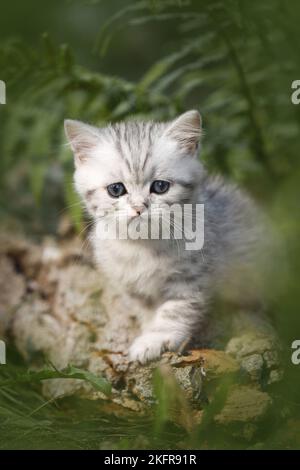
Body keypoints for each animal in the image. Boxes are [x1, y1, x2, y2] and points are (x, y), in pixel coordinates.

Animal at [65, 110, 268, 364]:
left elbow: (175, 311)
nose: (139, 207)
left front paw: (154, 340)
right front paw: (148, 331)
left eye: (160, 186)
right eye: (116, 189)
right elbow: (147, 311)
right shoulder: (132, 287)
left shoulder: (192, 280)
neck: (142, 247)